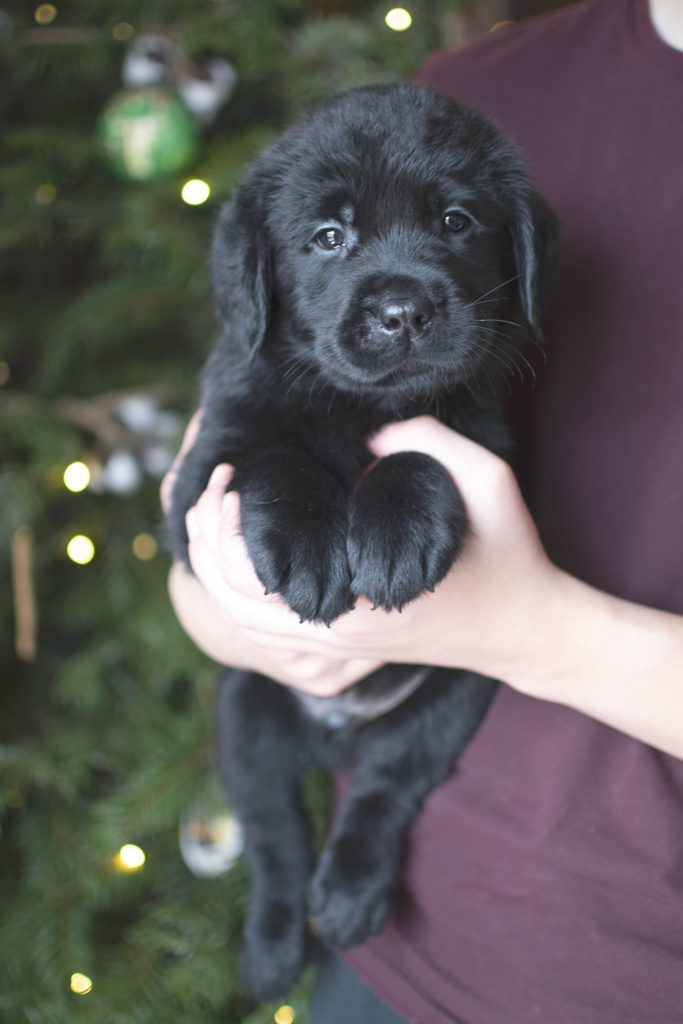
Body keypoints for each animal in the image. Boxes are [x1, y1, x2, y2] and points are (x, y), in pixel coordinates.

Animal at [166, 83, 561, 995]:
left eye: (455, 221)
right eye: (327, 237)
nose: (402, 311)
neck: (352, 408)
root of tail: (333, 735)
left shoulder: (485, 440)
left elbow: (418, 446)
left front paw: (392, 533)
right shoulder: (194, 484)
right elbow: (272, 457)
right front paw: (309, 545)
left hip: (448, 702)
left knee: (380, 795)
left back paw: (348, 895)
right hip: (246, 715)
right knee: (276, 840)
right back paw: (274, 947)